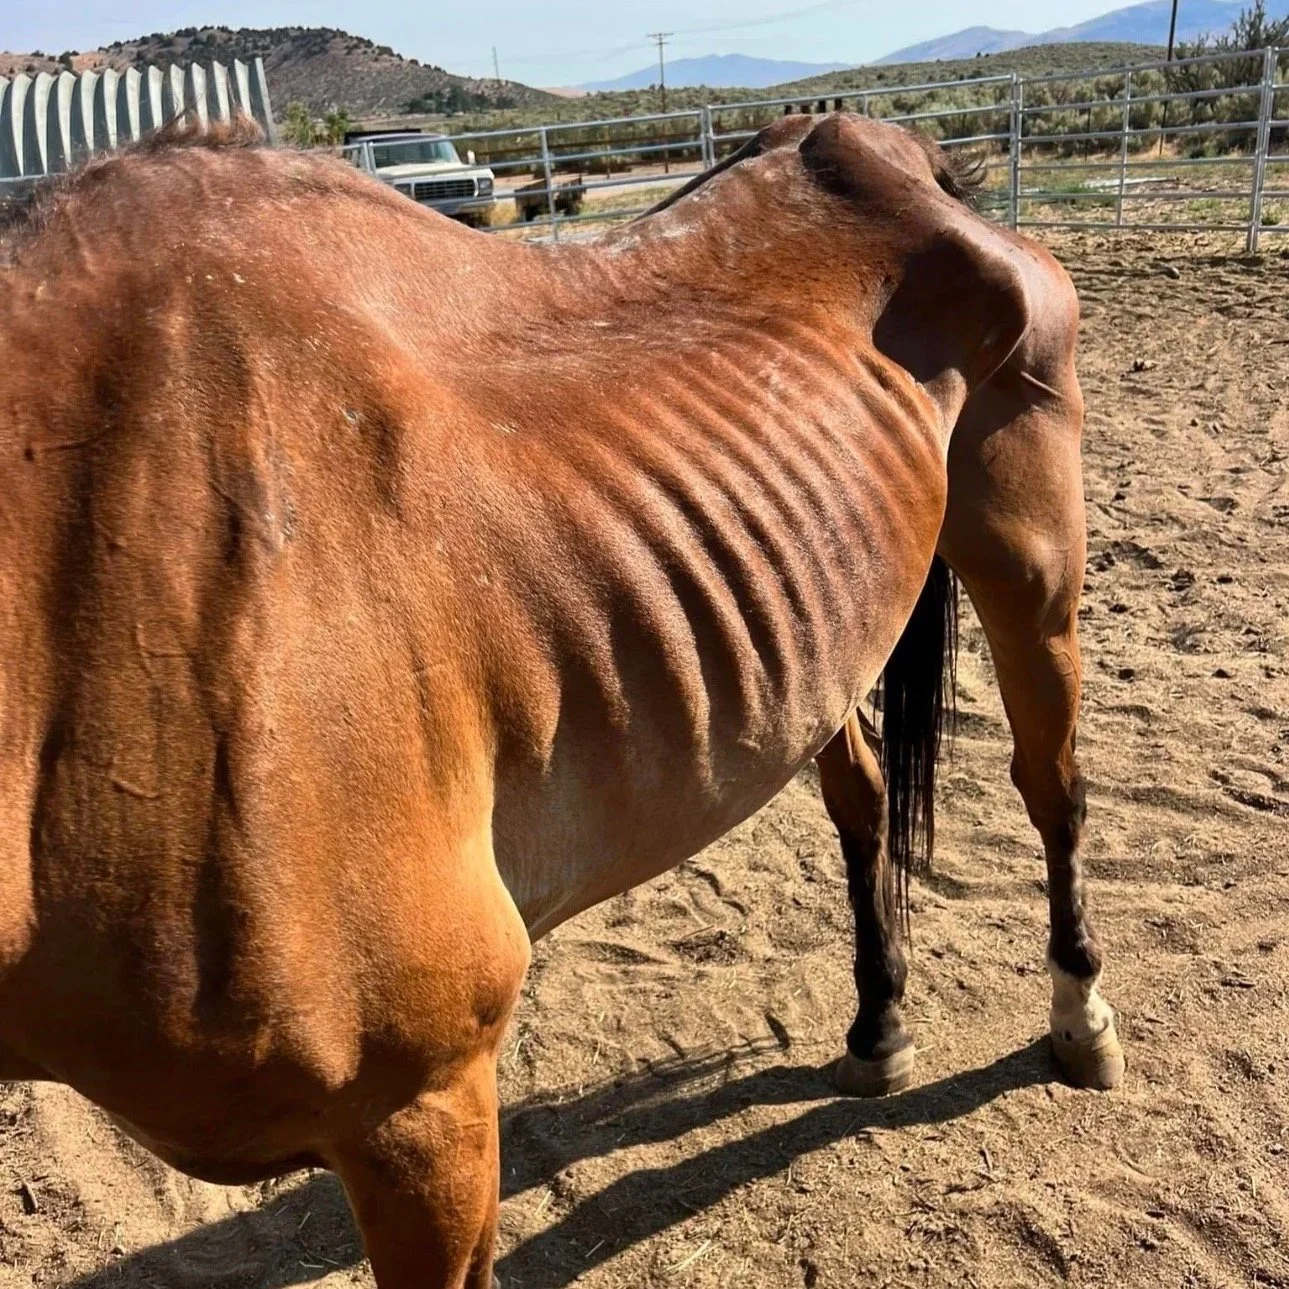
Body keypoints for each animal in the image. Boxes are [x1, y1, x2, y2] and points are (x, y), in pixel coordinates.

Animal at [0, 114, 1123, 1288]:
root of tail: (901, 160)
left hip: (1030, 567)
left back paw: (1078, 1017)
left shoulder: (423, 1109)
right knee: (860, 803)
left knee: (1051, 786)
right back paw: (877, 1024)